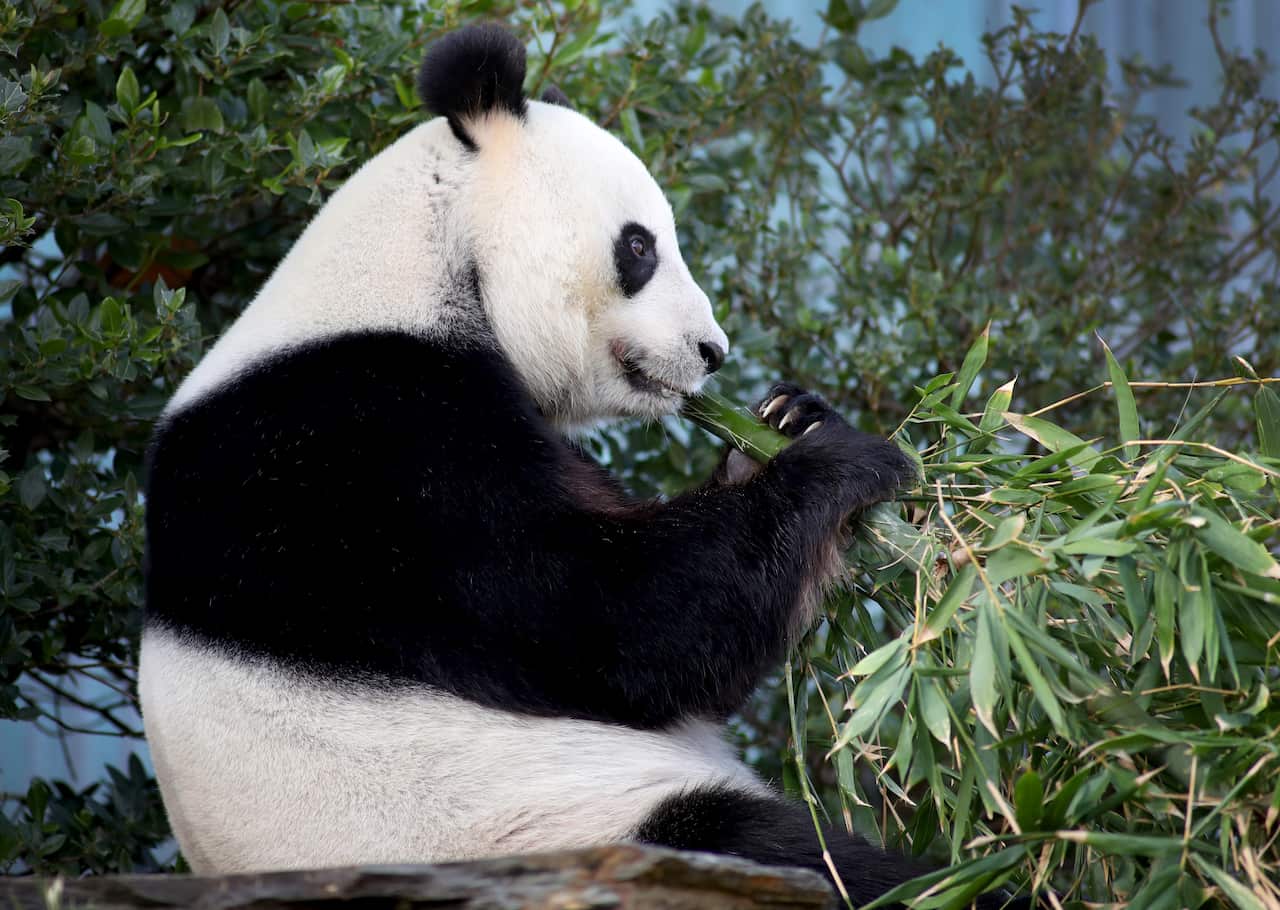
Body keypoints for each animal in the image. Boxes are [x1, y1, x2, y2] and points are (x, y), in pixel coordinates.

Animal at [139, 22, 1005, 907]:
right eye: (639, 246)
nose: (712, 352)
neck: (415, 269)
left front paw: (789, 420)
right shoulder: (366, 456)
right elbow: (616, 625)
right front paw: (840, 460)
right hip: (562, 816)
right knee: (797, 854)